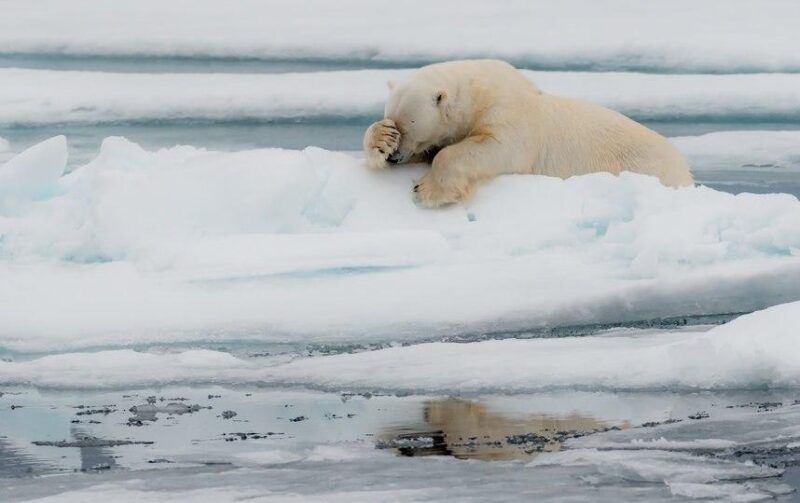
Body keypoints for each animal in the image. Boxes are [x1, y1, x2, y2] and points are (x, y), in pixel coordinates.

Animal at [364, 60, 692, 208]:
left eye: (409, 127)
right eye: (393, 121)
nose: (394, 158)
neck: (481, 93)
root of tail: (685, 170)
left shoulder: (510, 114)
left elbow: (495, 147)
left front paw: (428, 190)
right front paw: (381, 140)